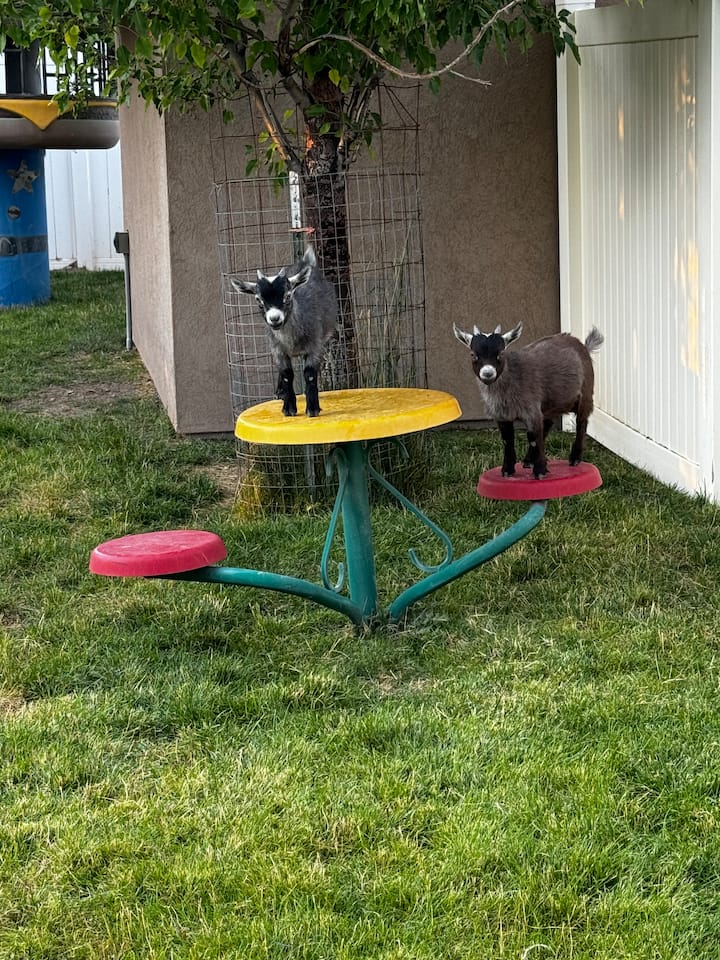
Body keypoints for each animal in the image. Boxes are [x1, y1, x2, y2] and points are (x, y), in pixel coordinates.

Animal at [231, 246, 338, 417]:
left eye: (288, 295)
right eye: (258, 300)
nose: (274, 318)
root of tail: (305, 262)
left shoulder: (314, 346)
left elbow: (309, 374)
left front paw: (312, 408)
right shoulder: (278, 350)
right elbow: (287, 374)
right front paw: (288, 408)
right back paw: (280, 392)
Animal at [453, 322, 604, 479]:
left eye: (501, 353)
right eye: (473, 355)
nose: (488, 373)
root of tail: (583, 346)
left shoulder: (531, 409)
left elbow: (533, 438)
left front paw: (540, 471)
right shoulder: (502, 416)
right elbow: (508, 439)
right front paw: (507, 470)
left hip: (585, 394)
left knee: (581, 422)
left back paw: (574, 458)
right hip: (552, 403)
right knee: (548, 423)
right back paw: (528, 460)